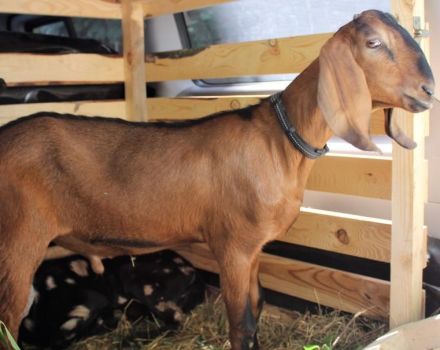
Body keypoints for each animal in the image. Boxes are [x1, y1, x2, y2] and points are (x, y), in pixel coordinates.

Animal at [0, 9, 434, 348]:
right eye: (374, 43)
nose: (429, 89)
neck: (279, 141)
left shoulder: (255, 248)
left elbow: (258, 307)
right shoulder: (233, 246)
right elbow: (241, 323)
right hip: (18, 241)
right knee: (9, 321)